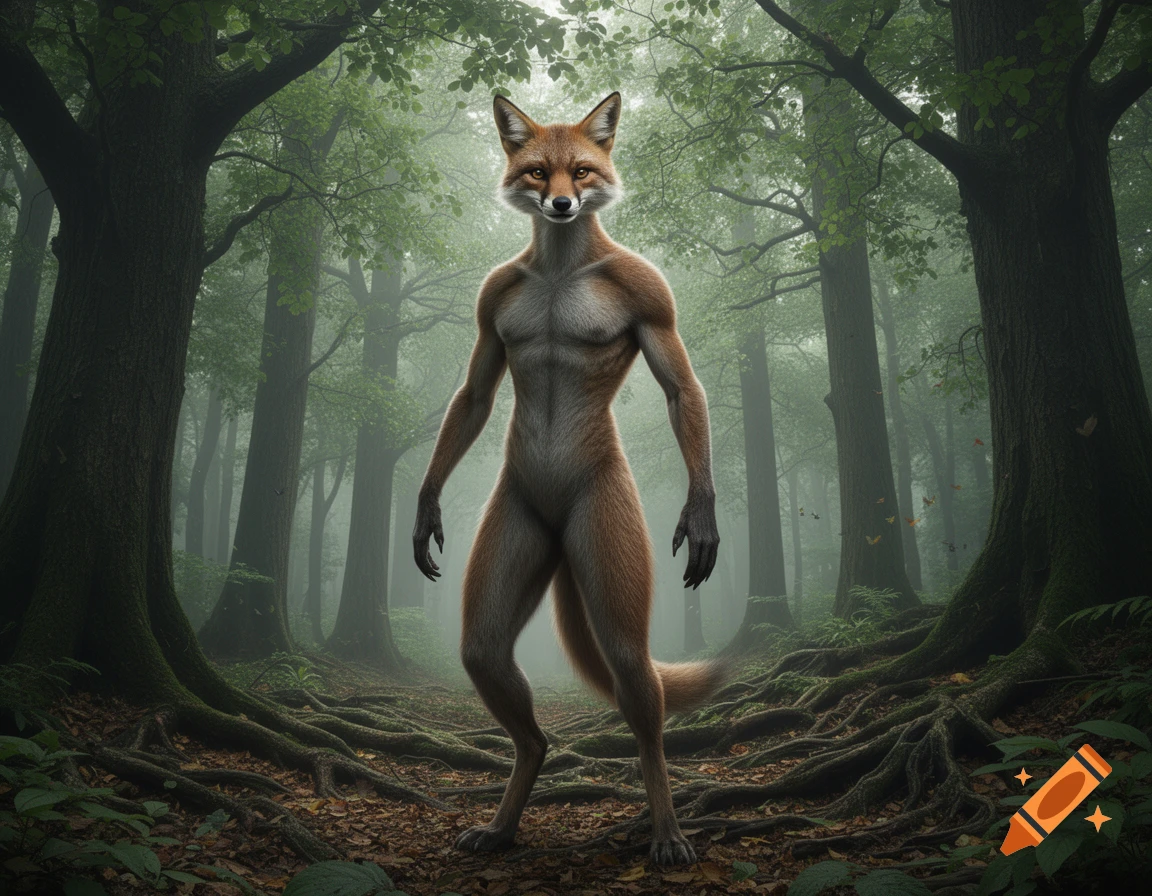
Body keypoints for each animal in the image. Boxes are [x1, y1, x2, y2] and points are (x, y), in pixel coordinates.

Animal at [412, 92, 725, 865]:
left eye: (582, 169)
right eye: (537, 170)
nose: (559, 203)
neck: (557, 268)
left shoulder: (653, 296)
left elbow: (683, 389)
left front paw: (702, 518)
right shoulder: (489, 310)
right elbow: (474, 395)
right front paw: (425, 513)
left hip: (610, 567)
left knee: (642, 708)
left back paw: (668, 833)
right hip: (516, 553)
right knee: (526, 722)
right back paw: (501, 824)